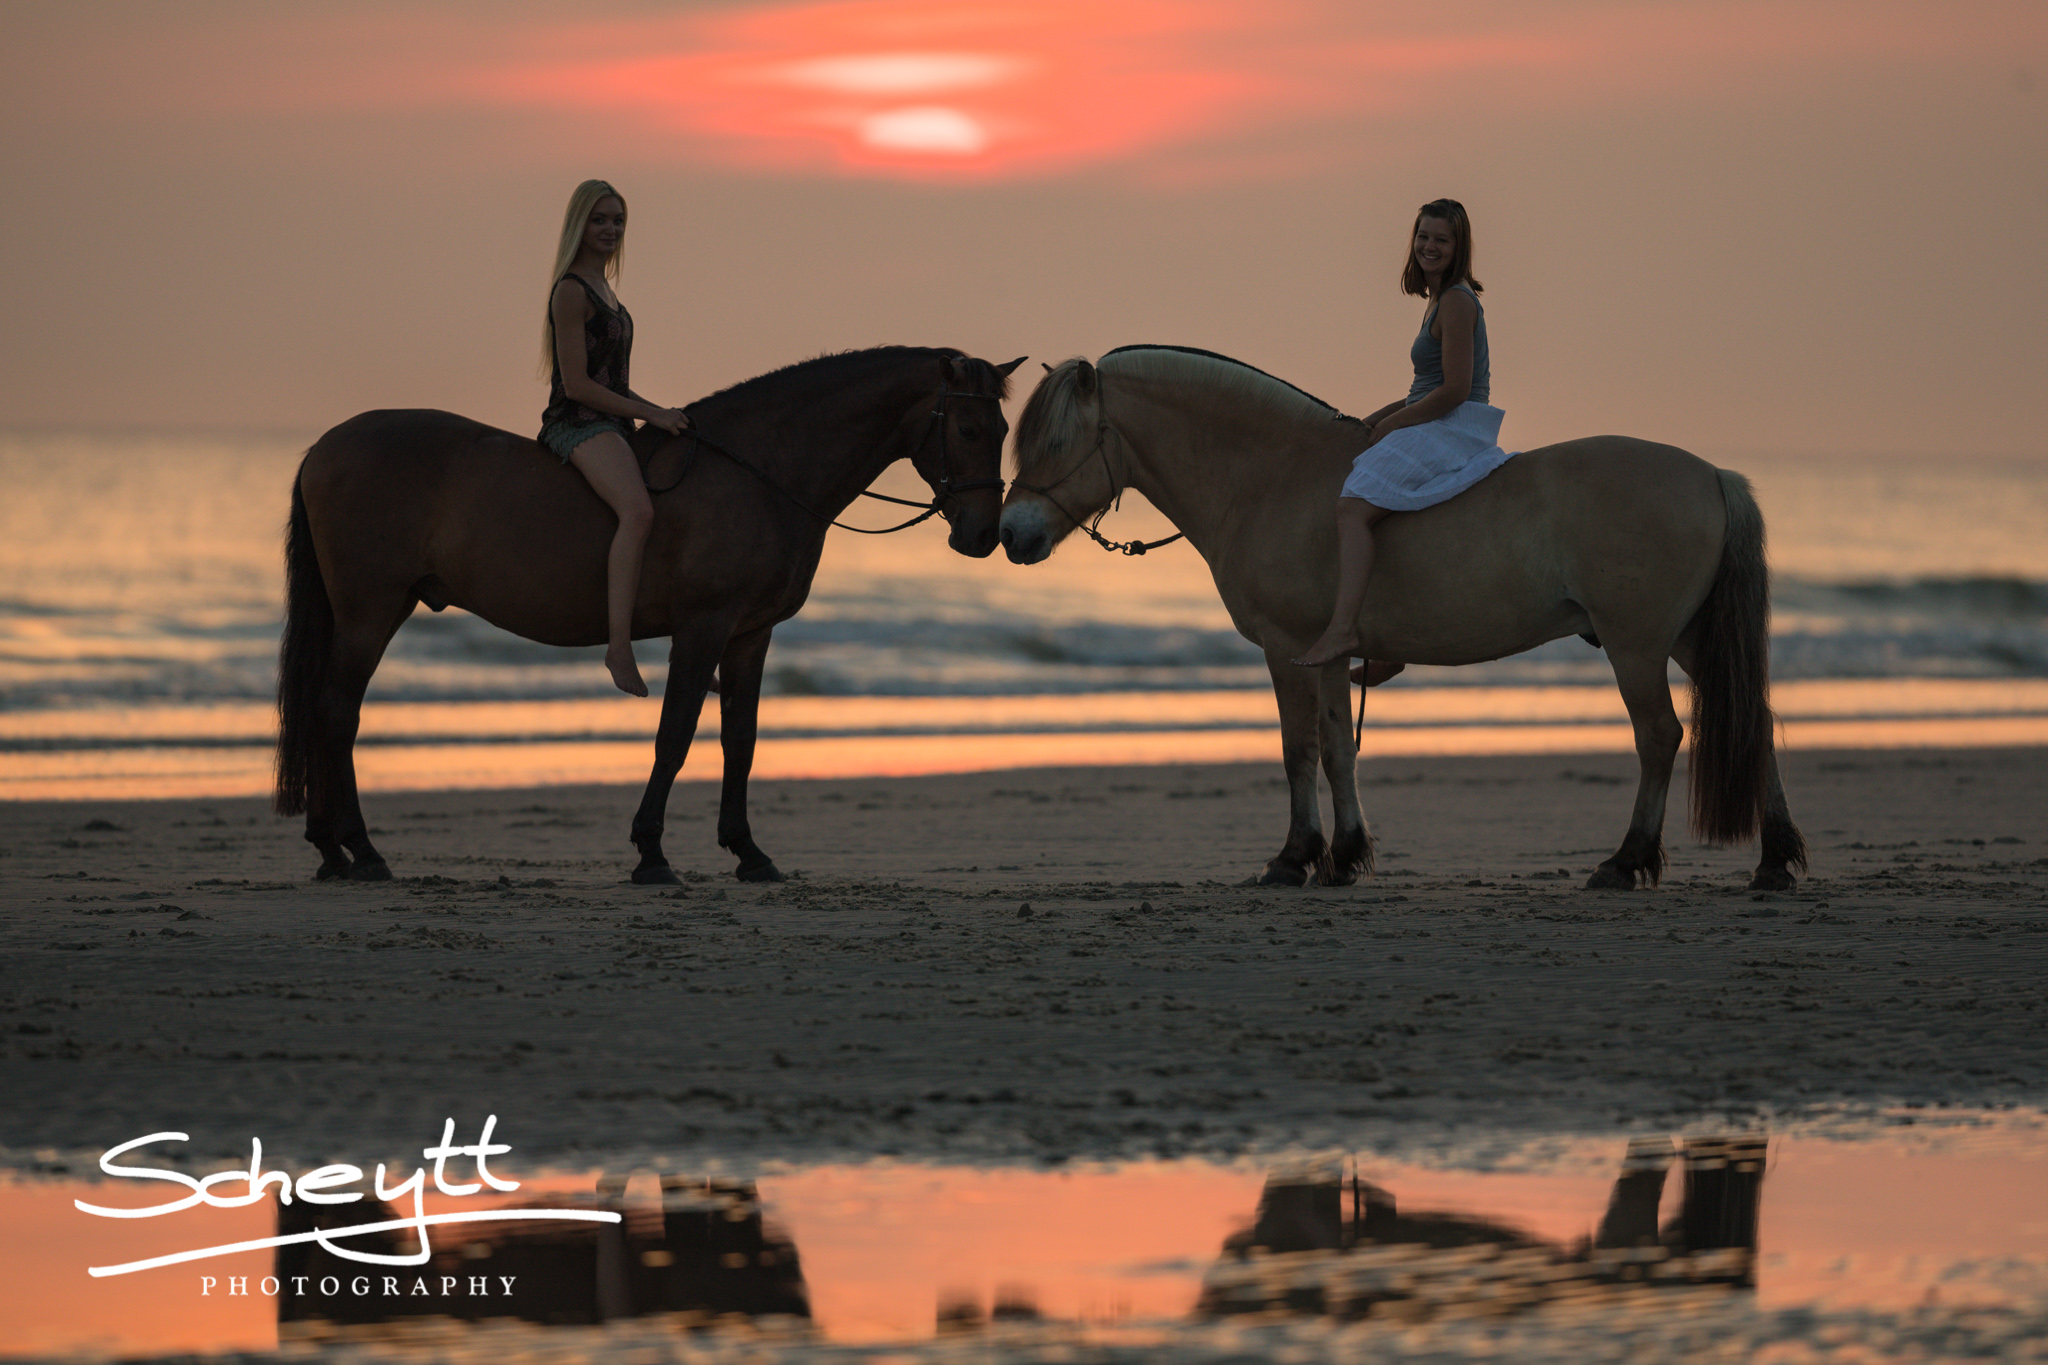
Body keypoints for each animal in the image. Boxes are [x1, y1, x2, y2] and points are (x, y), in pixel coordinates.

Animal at [275, 347, 1025, 885]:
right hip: (371, 610)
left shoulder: (751, 635)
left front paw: (748, 852)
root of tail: (323, 446)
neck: (760, 470)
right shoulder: (702, 629)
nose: (986, 535)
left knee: (323, 709)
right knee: (336, 711)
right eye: (967, 427)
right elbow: (677, 735)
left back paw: (331, 851)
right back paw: (361, 851)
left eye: (1004, 430)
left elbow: (740, 741)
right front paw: (651, 852)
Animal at [999, 347, 1806, 892]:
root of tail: (1710, 474)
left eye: (1057, 442)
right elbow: (1335, 748)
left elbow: (1301, 750)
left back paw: (1627, 860)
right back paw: (1774, 859)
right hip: (1688, 639)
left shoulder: (1291, 649)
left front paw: (1298, 857)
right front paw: (1345, 853)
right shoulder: (1325, 657)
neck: (1271, 476)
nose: (1010, 534)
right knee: (1752, 722)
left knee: (1660, 736)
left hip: (1636, 645)